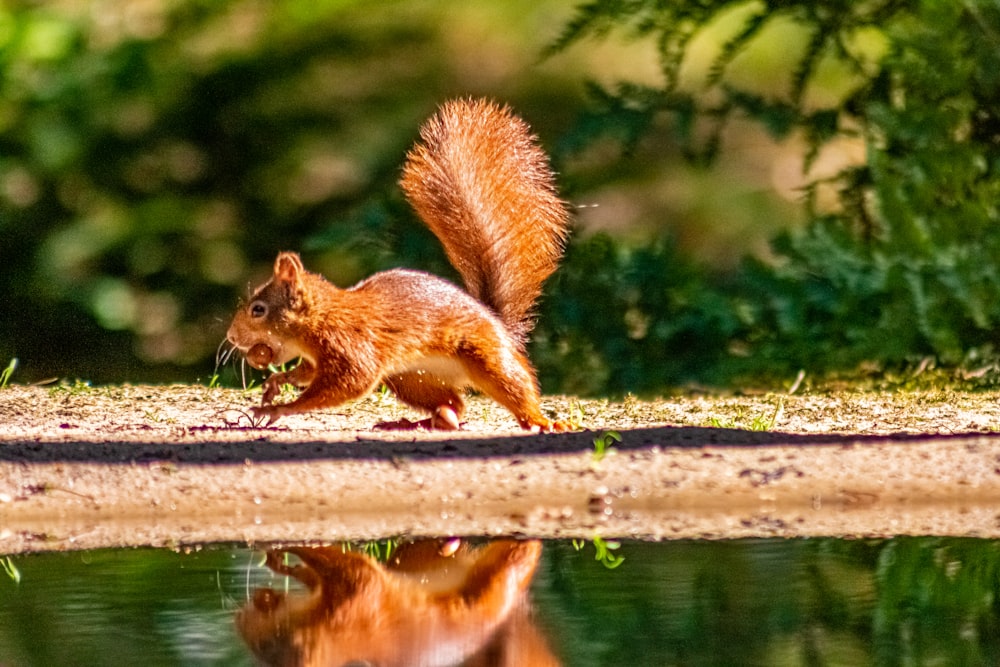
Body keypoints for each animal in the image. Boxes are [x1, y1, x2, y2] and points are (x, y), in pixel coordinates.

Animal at [228, 99, 572, 434]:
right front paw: (277, 382)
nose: (231, 337)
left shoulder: (352, 347)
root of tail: (497, 322)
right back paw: (421, 421)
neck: (323, 318)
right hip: (411, 379)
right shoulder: (318, 360)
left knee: (515, 388)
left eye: (258, 309)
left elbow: (348, 384)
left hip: (486, 358)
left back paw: (541, 421)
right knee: (456, 406)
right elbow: (305, 374)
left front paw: (278, 408)